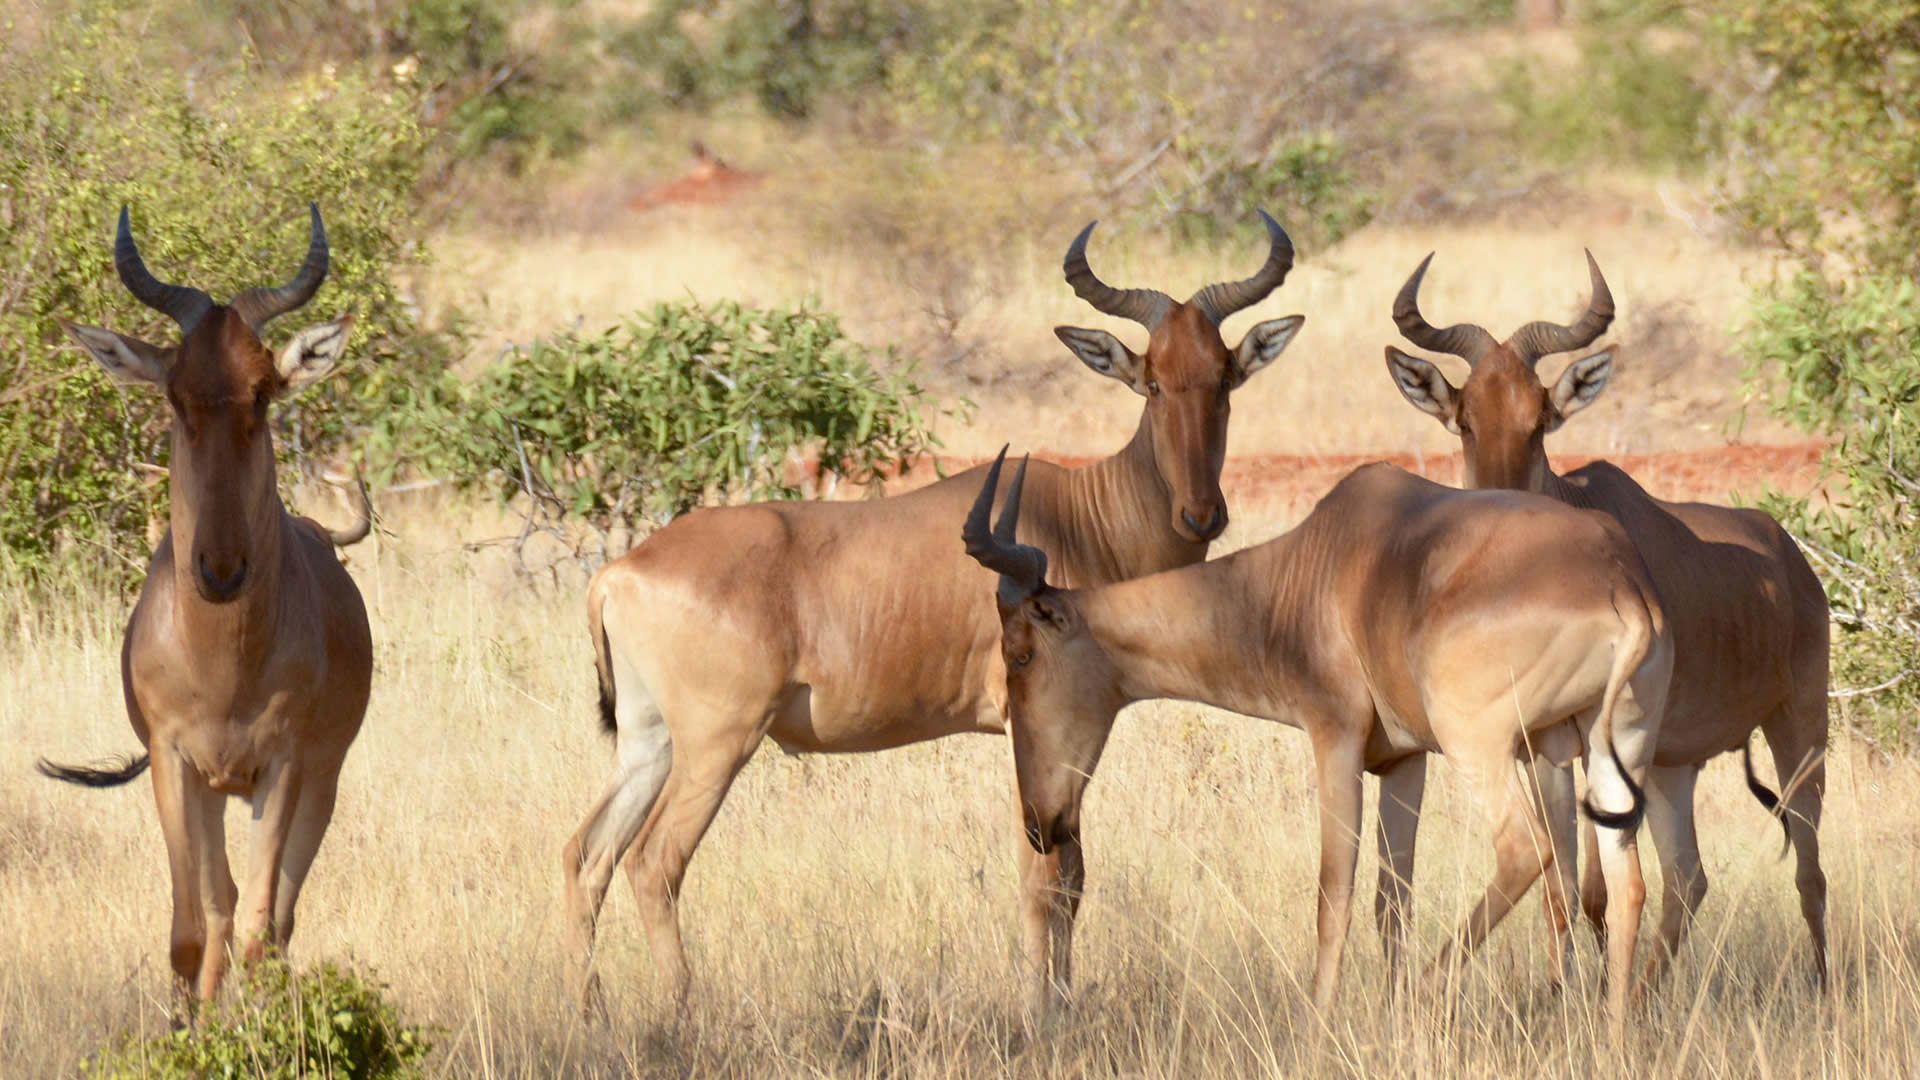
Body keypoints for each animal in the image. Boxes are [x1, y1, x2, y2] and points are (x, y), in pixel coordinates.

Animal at [37, 203, 372, 999]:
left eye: (264, 390)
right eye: (175, 392)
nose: (221, 571)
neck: (223, 665)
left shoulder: (284, 767)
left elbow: (257, 927)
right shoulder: (175, 764)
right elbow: (192, 930)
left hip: (316, 781)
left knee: (275, 920)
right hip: (218, 790)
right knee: (220, 907)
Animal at [560, 208, 1305, 1006]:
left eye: (1223, 378)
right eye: (1152, 382)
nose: (1202, 516)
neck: (1080, 512)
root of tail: (620, 573)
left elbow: (1071, 875)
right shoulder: (1032, 719)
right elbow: (1046, 877)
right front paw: (1042, 1009)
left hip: (650, 742)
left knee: (587, 854)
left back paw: (590, 1012)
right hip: (716, 742)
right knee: (654, 862)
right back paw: (679, 1011)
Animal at [967, 449, 1674, 1037]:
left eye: (1021, 656)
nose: (1040, 824)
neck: (1320, 560)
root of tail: (1620, 581)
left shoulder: (1335, 736)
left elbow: (1334, 891)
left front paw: (1319, 1025)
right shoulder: (1404, 761)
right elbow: (1393, 898)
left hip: (1480, 744)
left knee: (1526, 850)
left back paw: (1422, 997)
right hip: (1613, 750)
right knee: (1629, 887)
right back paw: (1612, 1040)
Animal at [1382, 249, 1827, 983]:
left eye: (1539, 420)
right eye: (1467, 419)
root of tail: (1788, 554)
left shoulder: (1600, 743)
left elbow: (1593, 888)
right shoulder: (1541, 748)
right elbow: (1560, 885)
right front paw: (1559, 991)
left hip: (1799, 726)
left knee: (1810, 868)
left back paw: (1820, 985)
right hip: (1678, 761)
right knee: (1689, 878)